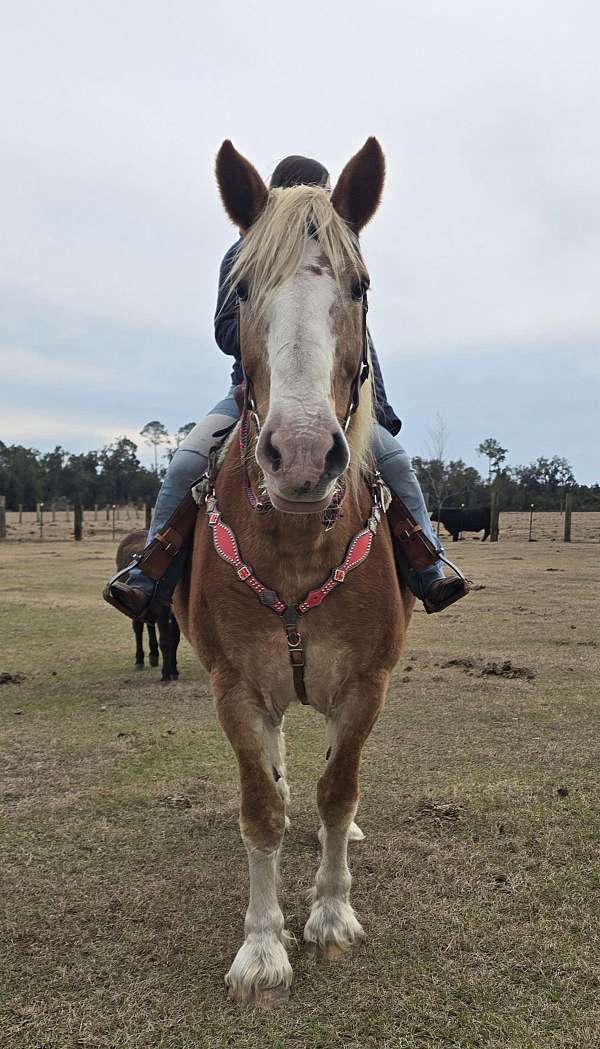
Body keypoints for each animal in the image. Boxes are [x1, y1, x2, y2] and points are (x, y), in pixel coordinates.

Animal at [114, 528, 180, 683]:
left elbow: (174, 639)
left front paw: (173, 669)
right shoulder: (164, 608)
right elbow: (165, 640)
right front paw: (166, 674)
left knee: (149, 623)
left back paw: (154, 655)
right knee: (138, 627)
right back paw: (140, 660)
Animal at [173, 135, 413, 1002]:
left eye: (361, 285)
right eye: (241, 288)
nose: (304, 456)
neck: (300, 538)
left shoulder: (369, 682)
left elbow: (337, 794)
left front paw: (332, 916)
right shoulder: (236, 687)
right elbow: (261, 811)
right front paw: (262, 947)